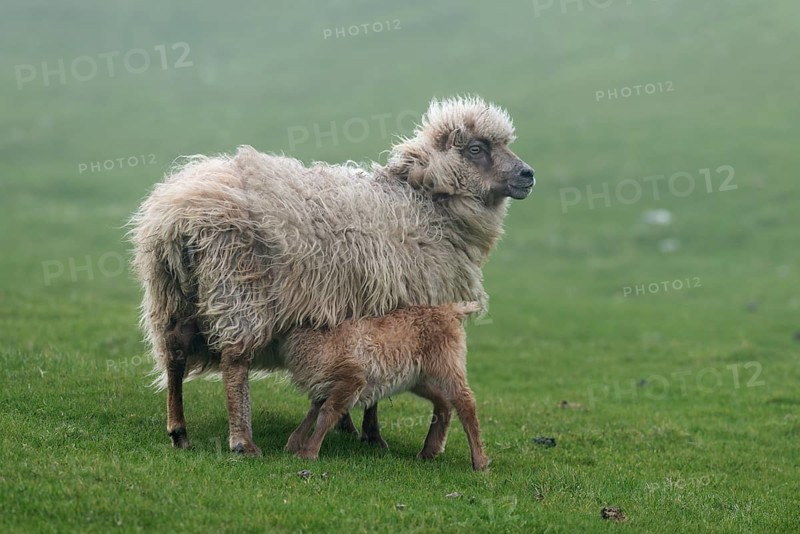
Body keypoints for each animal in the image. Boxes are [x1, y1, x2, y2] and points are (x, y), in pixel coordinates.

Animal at [281, 302, 489, 470]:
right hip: (418, 377)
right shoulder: (325, 384)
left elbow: (327, 413)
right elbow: (313, 411)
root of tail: (450, 310)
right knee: (444, 401)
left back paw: (479, 462)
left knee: (465, 403)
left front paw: (308, 453)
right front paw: (293, 443)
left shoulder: (351, 379)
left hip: (447, 362)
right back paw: (429, 451)